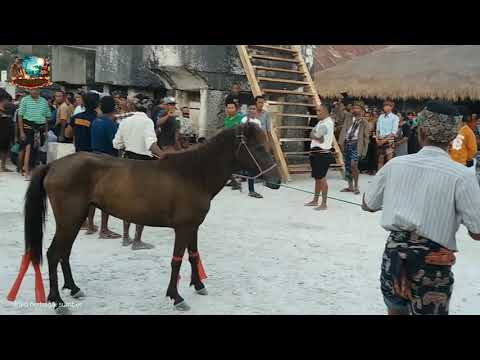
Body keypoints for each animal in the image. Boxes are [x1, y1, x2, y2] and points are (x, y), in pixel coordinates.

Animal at [23, 122, 282, 310]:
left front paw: (198, 285)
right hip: (69, 221)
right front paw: (176, 297)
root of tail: (54, 165)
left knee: (64, 253)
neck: (193, 175)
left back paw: (73, 288)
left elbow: (193, 255)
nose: (276, 181)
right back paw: (57, 300)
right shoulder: (183, 228)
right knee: (54, 254)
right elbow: (177, 260)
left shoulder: (193, 227)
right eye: (258, 148)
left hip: (75, 220)